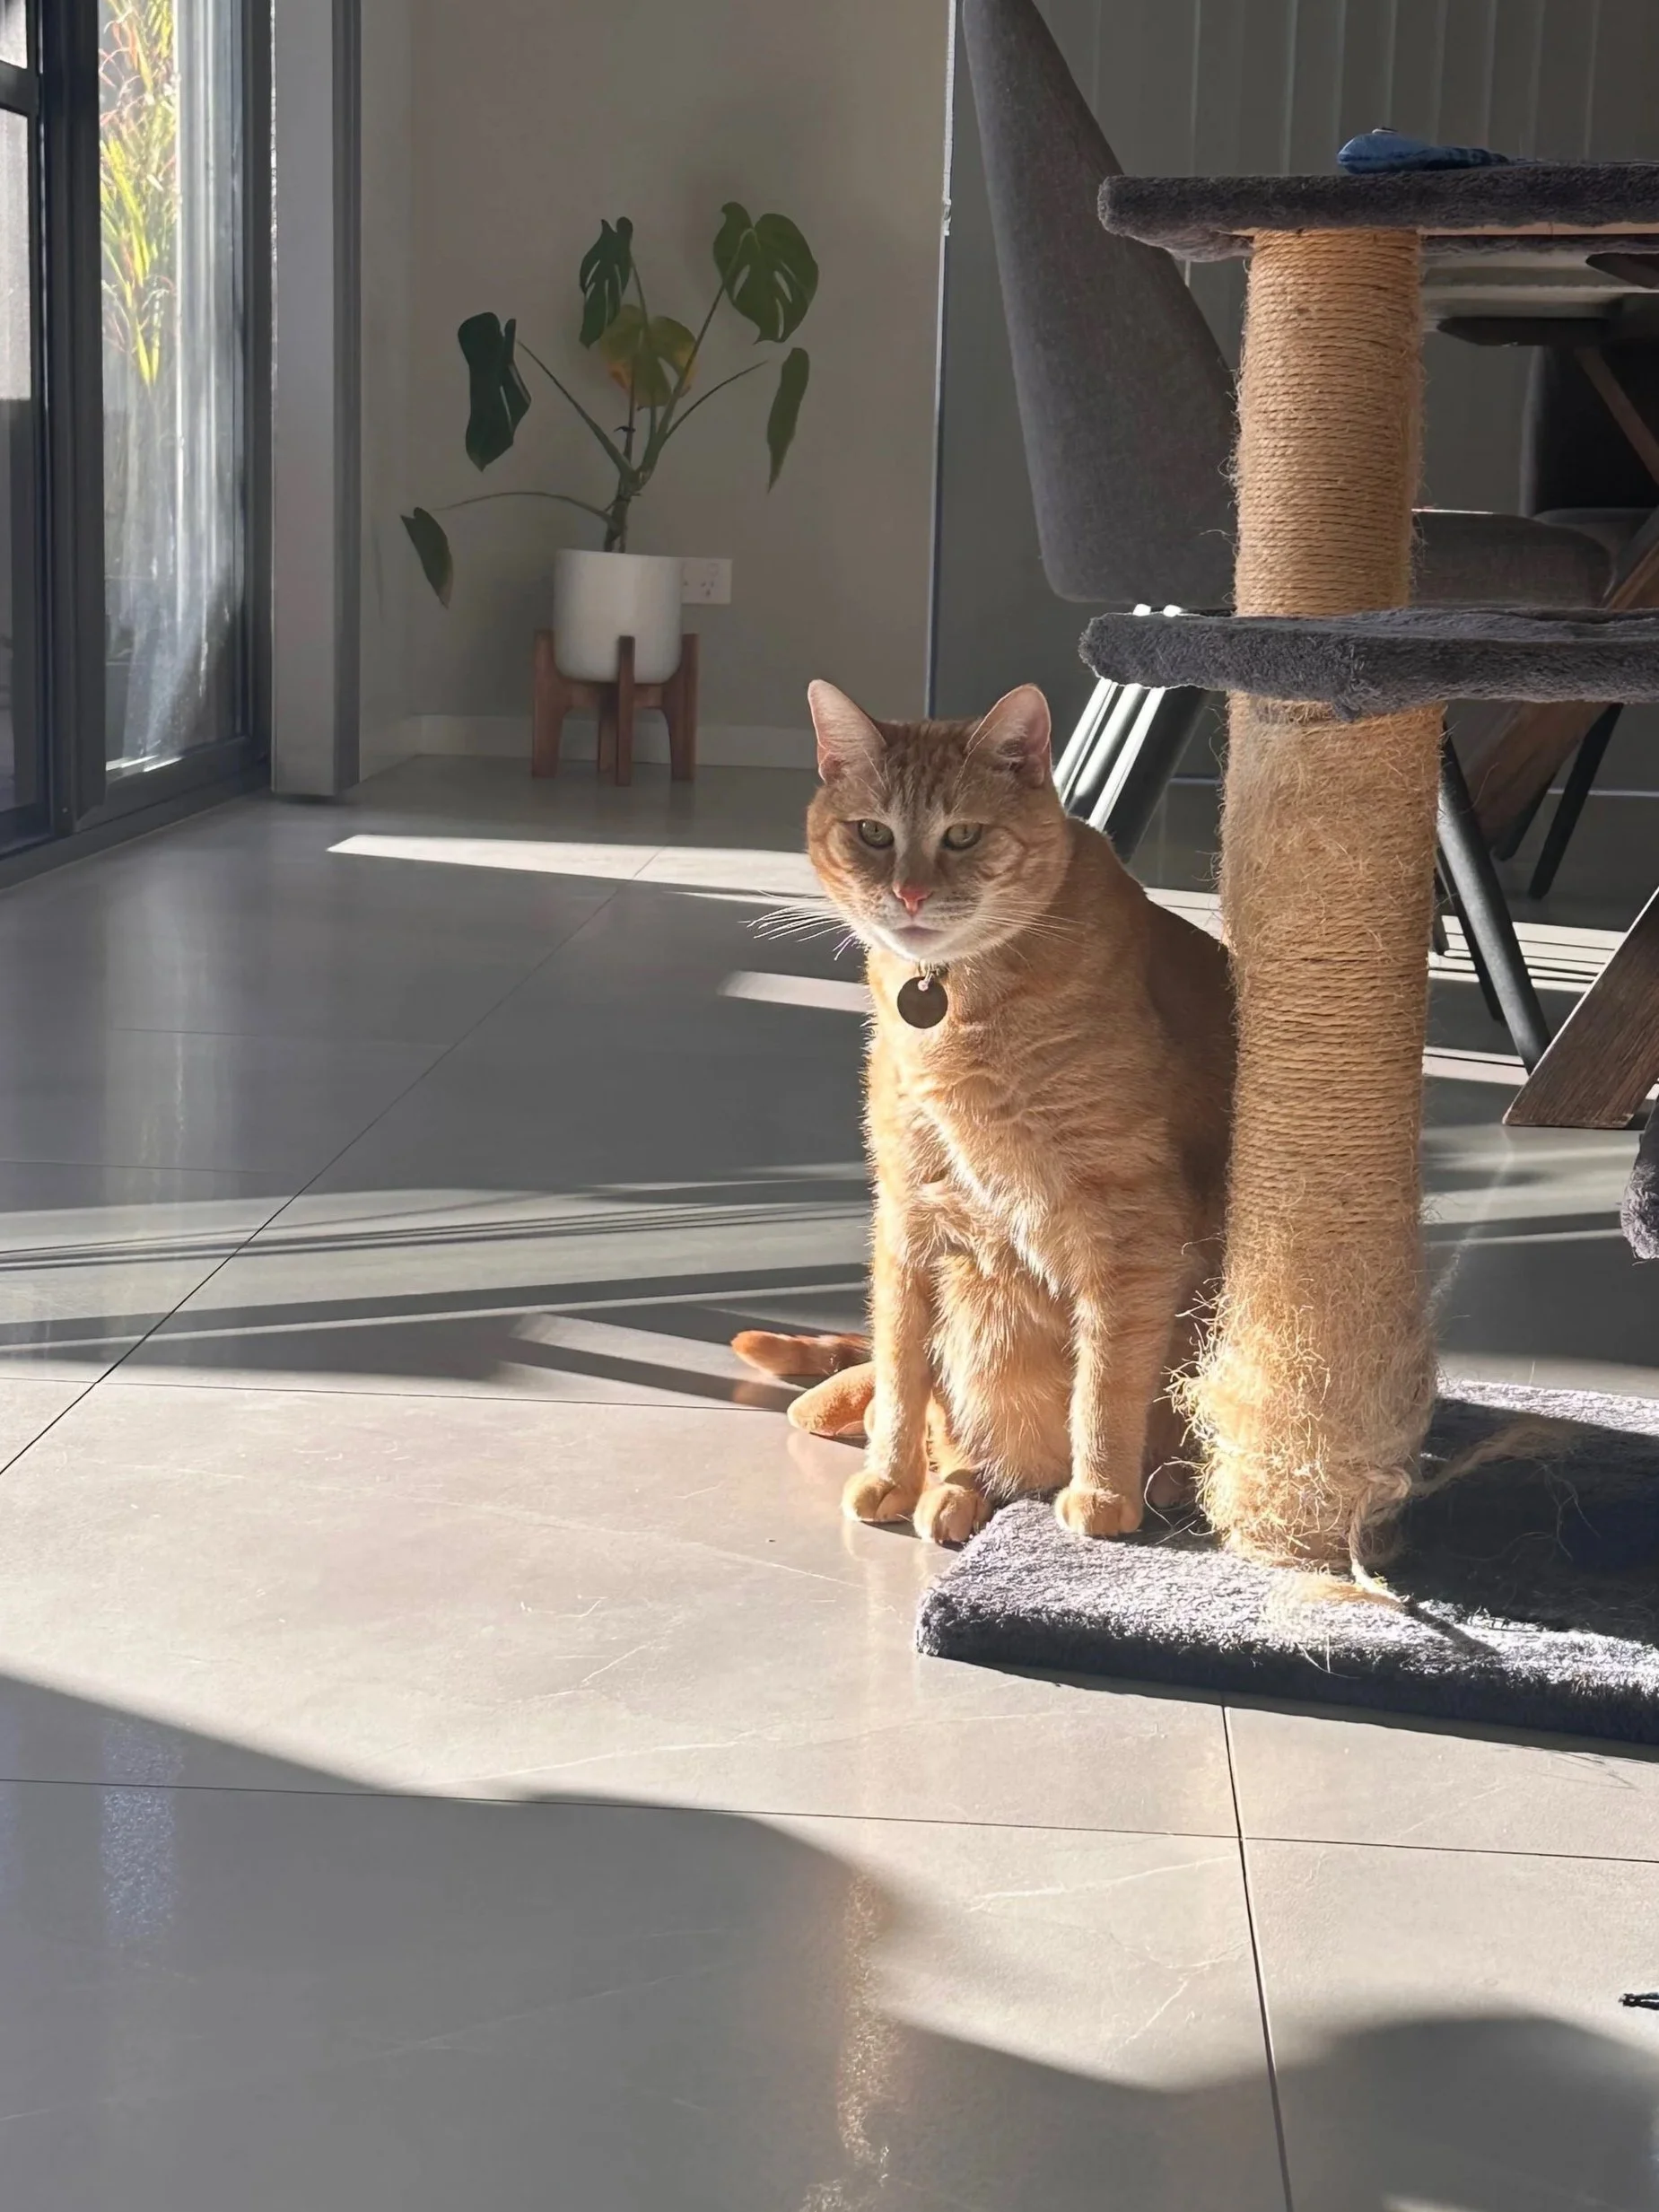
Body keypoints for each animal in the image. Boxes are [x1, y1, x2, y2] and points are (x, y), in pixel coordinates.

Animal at [742, 680, 1236, 1546]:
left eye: (963, 835)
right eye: (873, 833)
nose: (907, 893)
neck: (956, 1010)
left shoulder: (1133, 1227)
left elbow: (1106, 1378)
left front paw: (1103, 1492)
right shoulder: (907, 1214)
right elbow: (901, 1374)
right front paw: (890, 1475)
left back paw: (1165, 1481)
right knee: (951, 1420)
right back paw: (952, 1491)